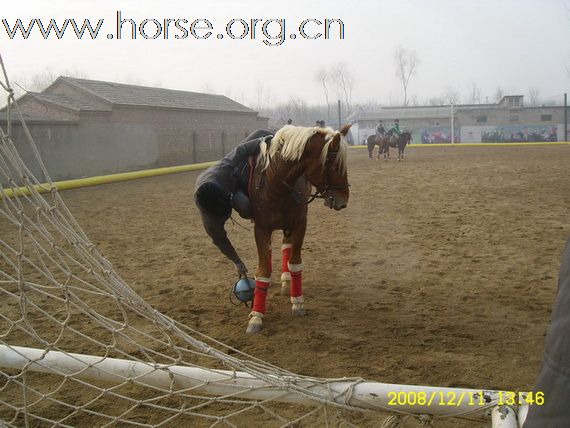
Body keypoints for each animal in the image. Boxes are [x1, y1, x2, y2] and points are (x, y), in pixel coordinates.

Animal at [245, 125, 350, 332]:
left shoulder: (300, 224)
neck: (277, 184)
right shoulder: (261, 228)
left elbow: (295, 262)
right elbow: (263, 270)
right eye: (335, 165)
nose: (344, 200)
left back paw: (286, 281)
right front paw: (256, 316)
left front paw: (298, 302)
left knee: (286, 245)